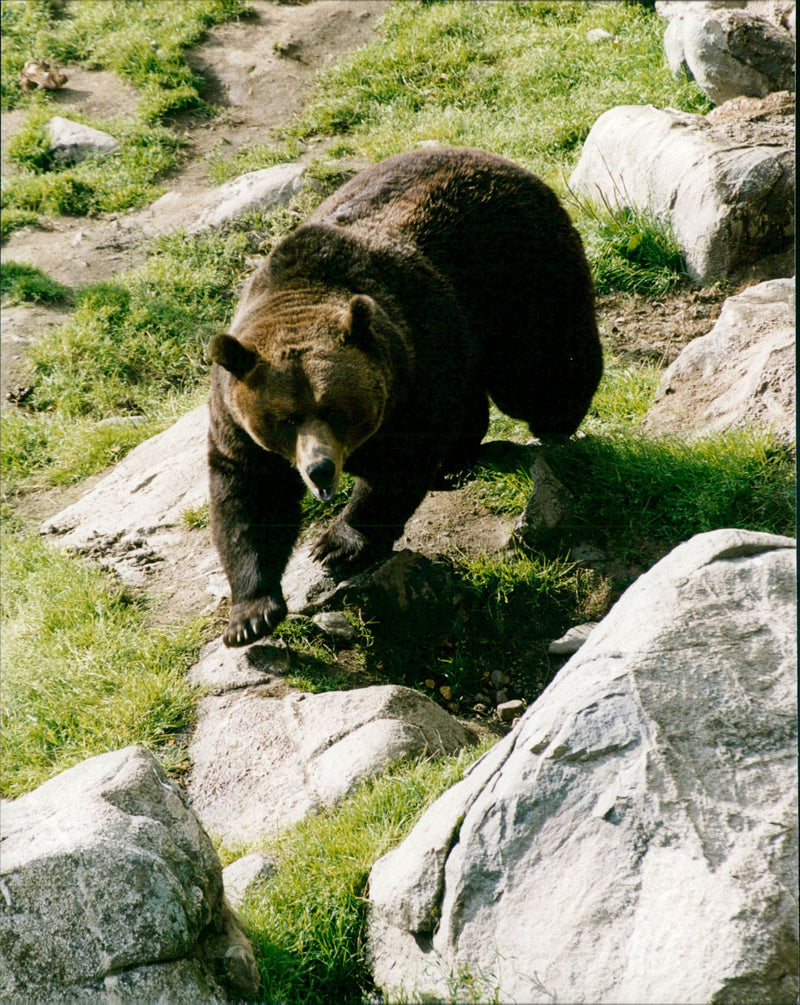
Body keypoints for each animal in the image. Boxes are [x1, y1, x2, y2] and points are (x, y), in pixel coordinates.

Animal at [206, 147, 598, 647]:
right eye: (286, 419)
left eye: (336, 410)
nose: (320, 469)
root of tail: (493, 157)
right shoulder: (238, 425)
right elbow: (248, 499)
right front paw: (251, 616)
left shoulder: (412, 368)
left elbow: (399, 466)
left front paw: (337, 545)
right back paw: (455, 463)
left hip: (520, 273)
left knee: (540, 373)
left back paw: (556, 425)